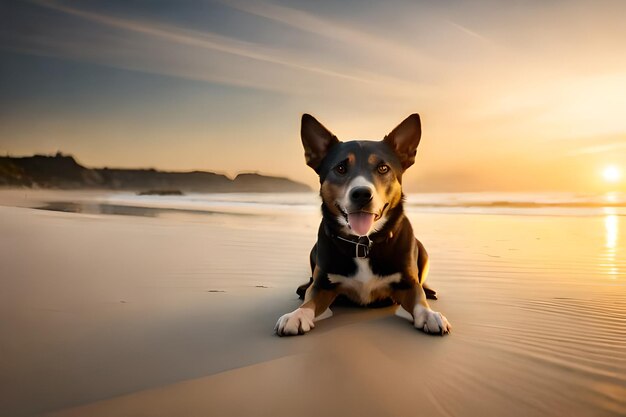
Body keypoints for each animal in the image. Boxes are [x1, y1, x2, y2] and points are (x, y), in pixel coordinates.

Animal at [274, 113, 448, 334]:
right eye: (340, 168)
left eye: (383, 168)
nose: (362, 194)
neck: (362, 243)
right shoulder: (323, 285)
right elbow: (309, 300)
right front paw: (297, 315)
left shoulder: (408, 284)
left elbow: (419, 299)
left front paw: (428, 314)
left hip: (423, 252)